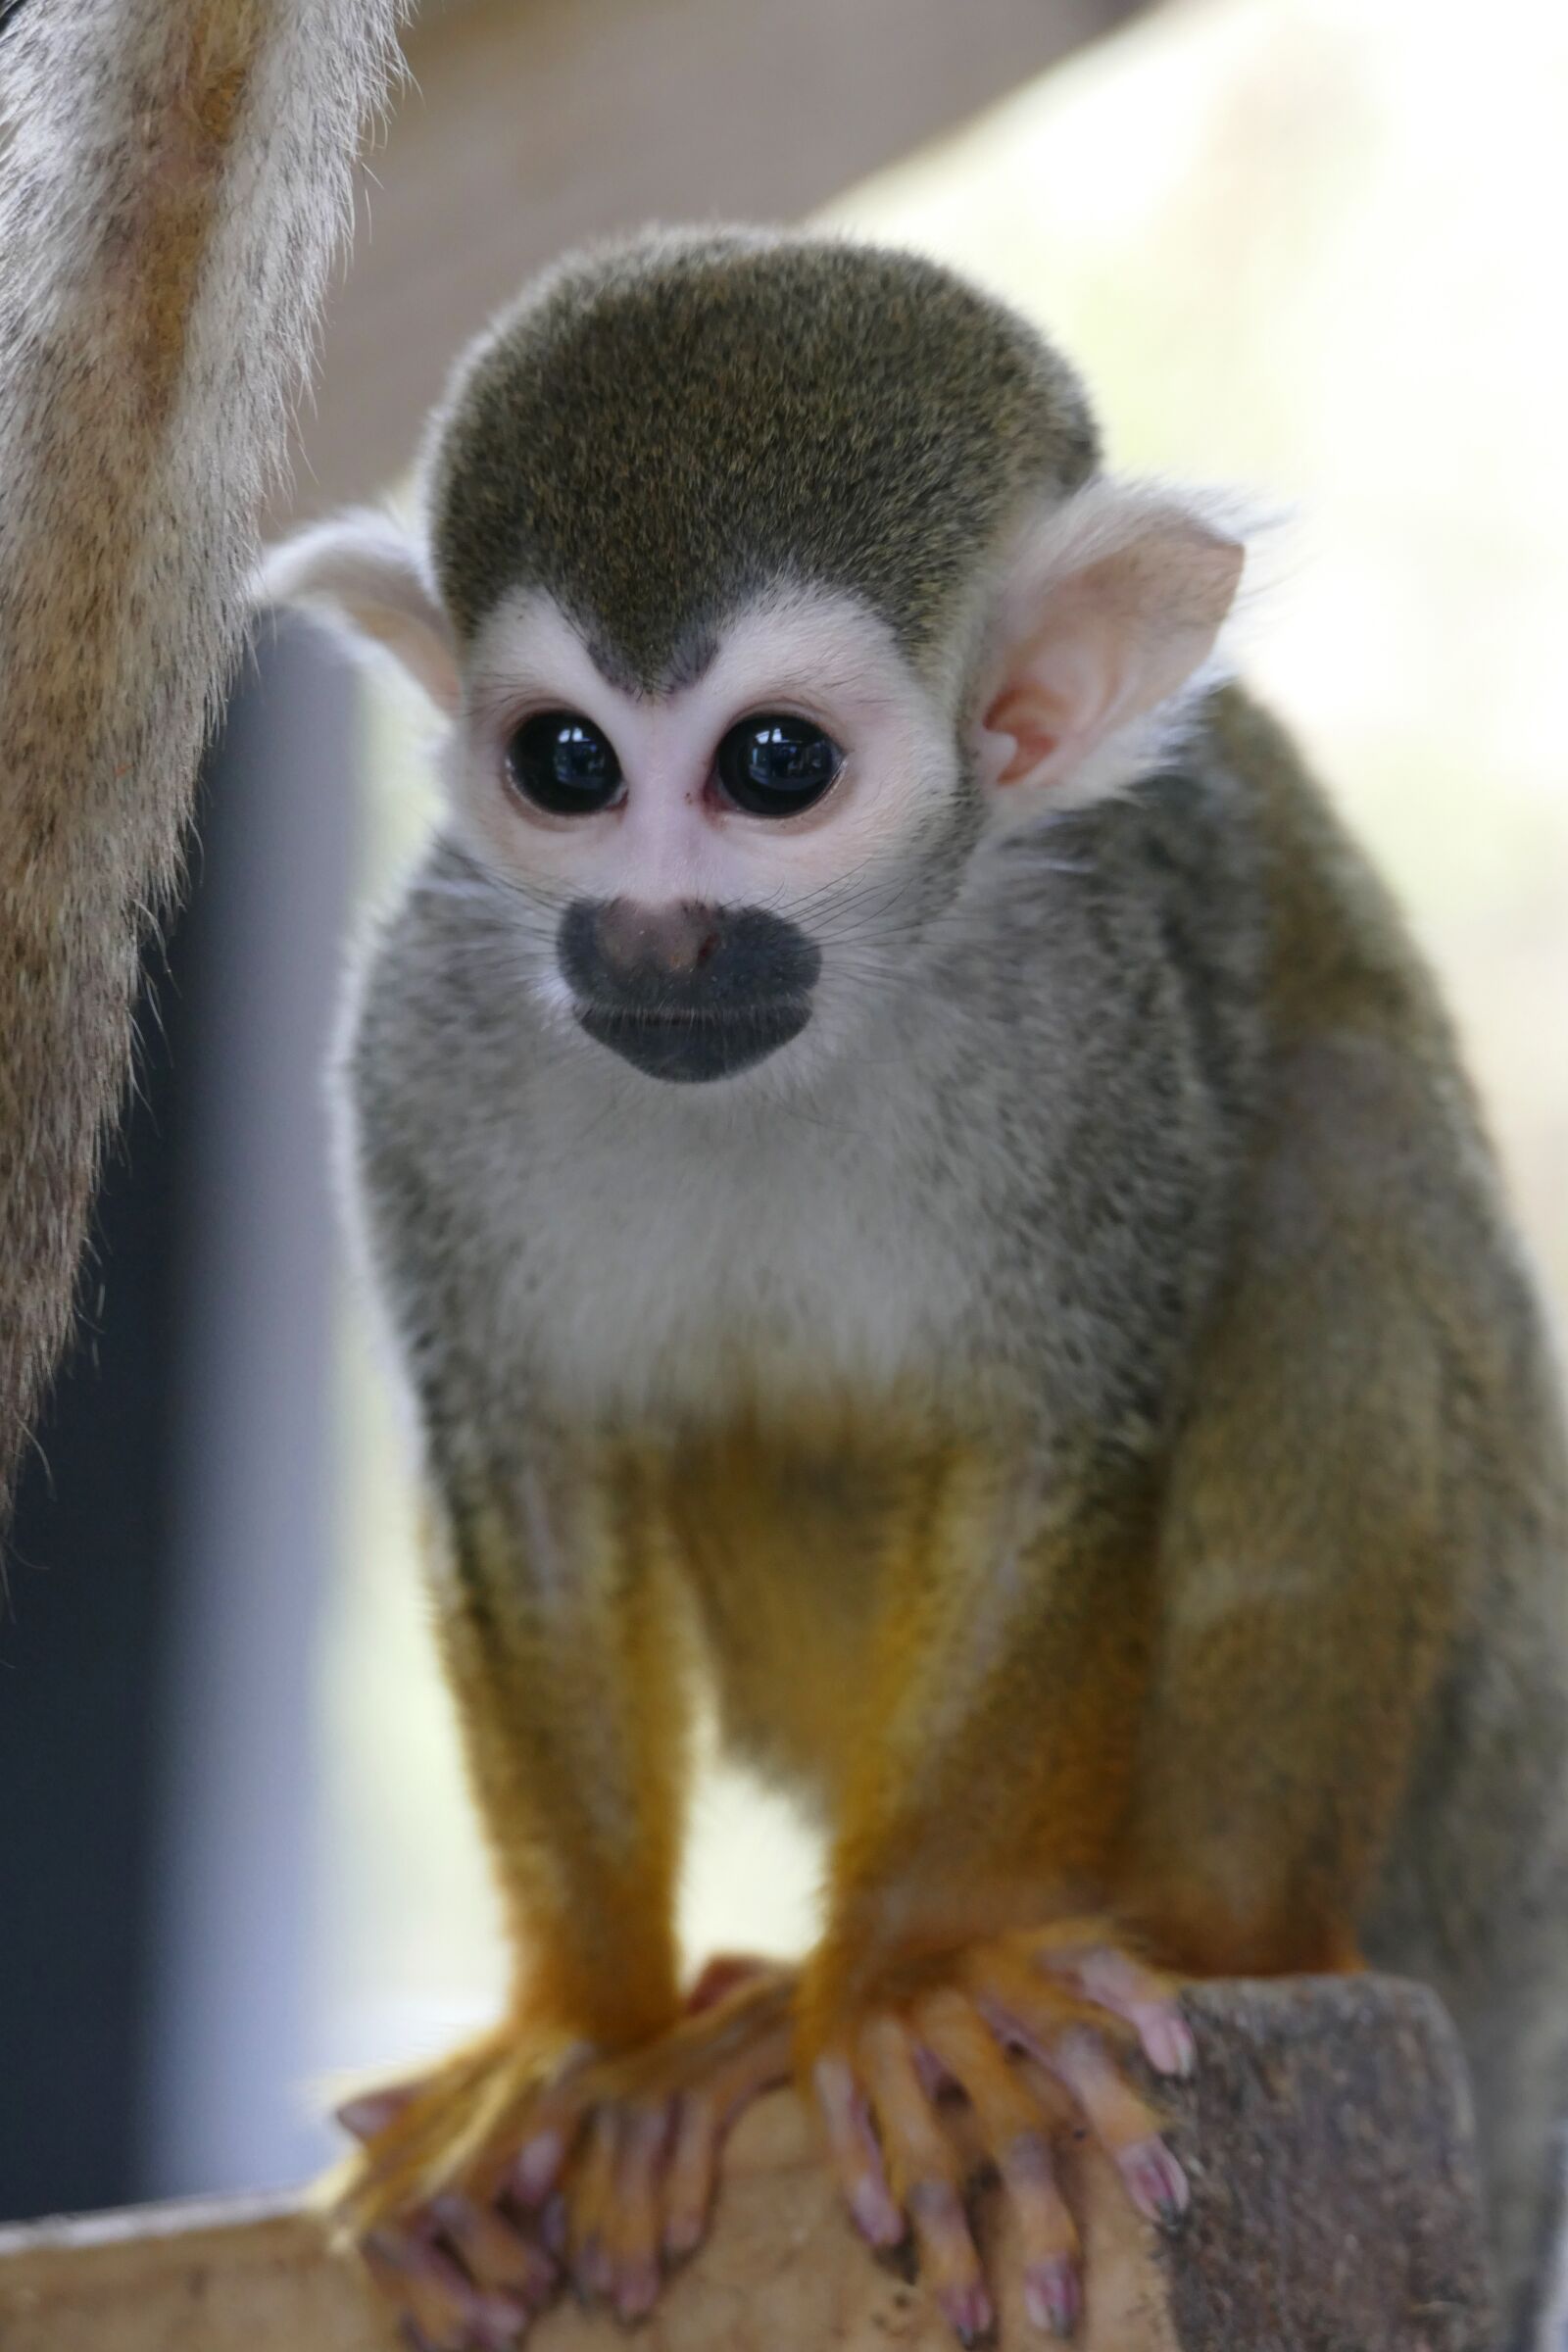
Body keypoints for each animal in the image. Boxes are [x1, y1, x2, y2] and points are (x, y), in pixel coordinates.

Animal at [264, 227, 1568, 2349]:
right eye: (565, 762)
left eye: (773, 766)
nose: (652, 932)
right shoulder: (427, 1026)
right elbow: (527, 1469)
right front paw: (581, 2033)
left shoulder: (1083, 1009)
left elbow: (1054, 1439)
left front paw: (908, 1990)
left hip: (1480, 1775)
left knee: (1340, 1153)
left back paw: (1198, 1937)